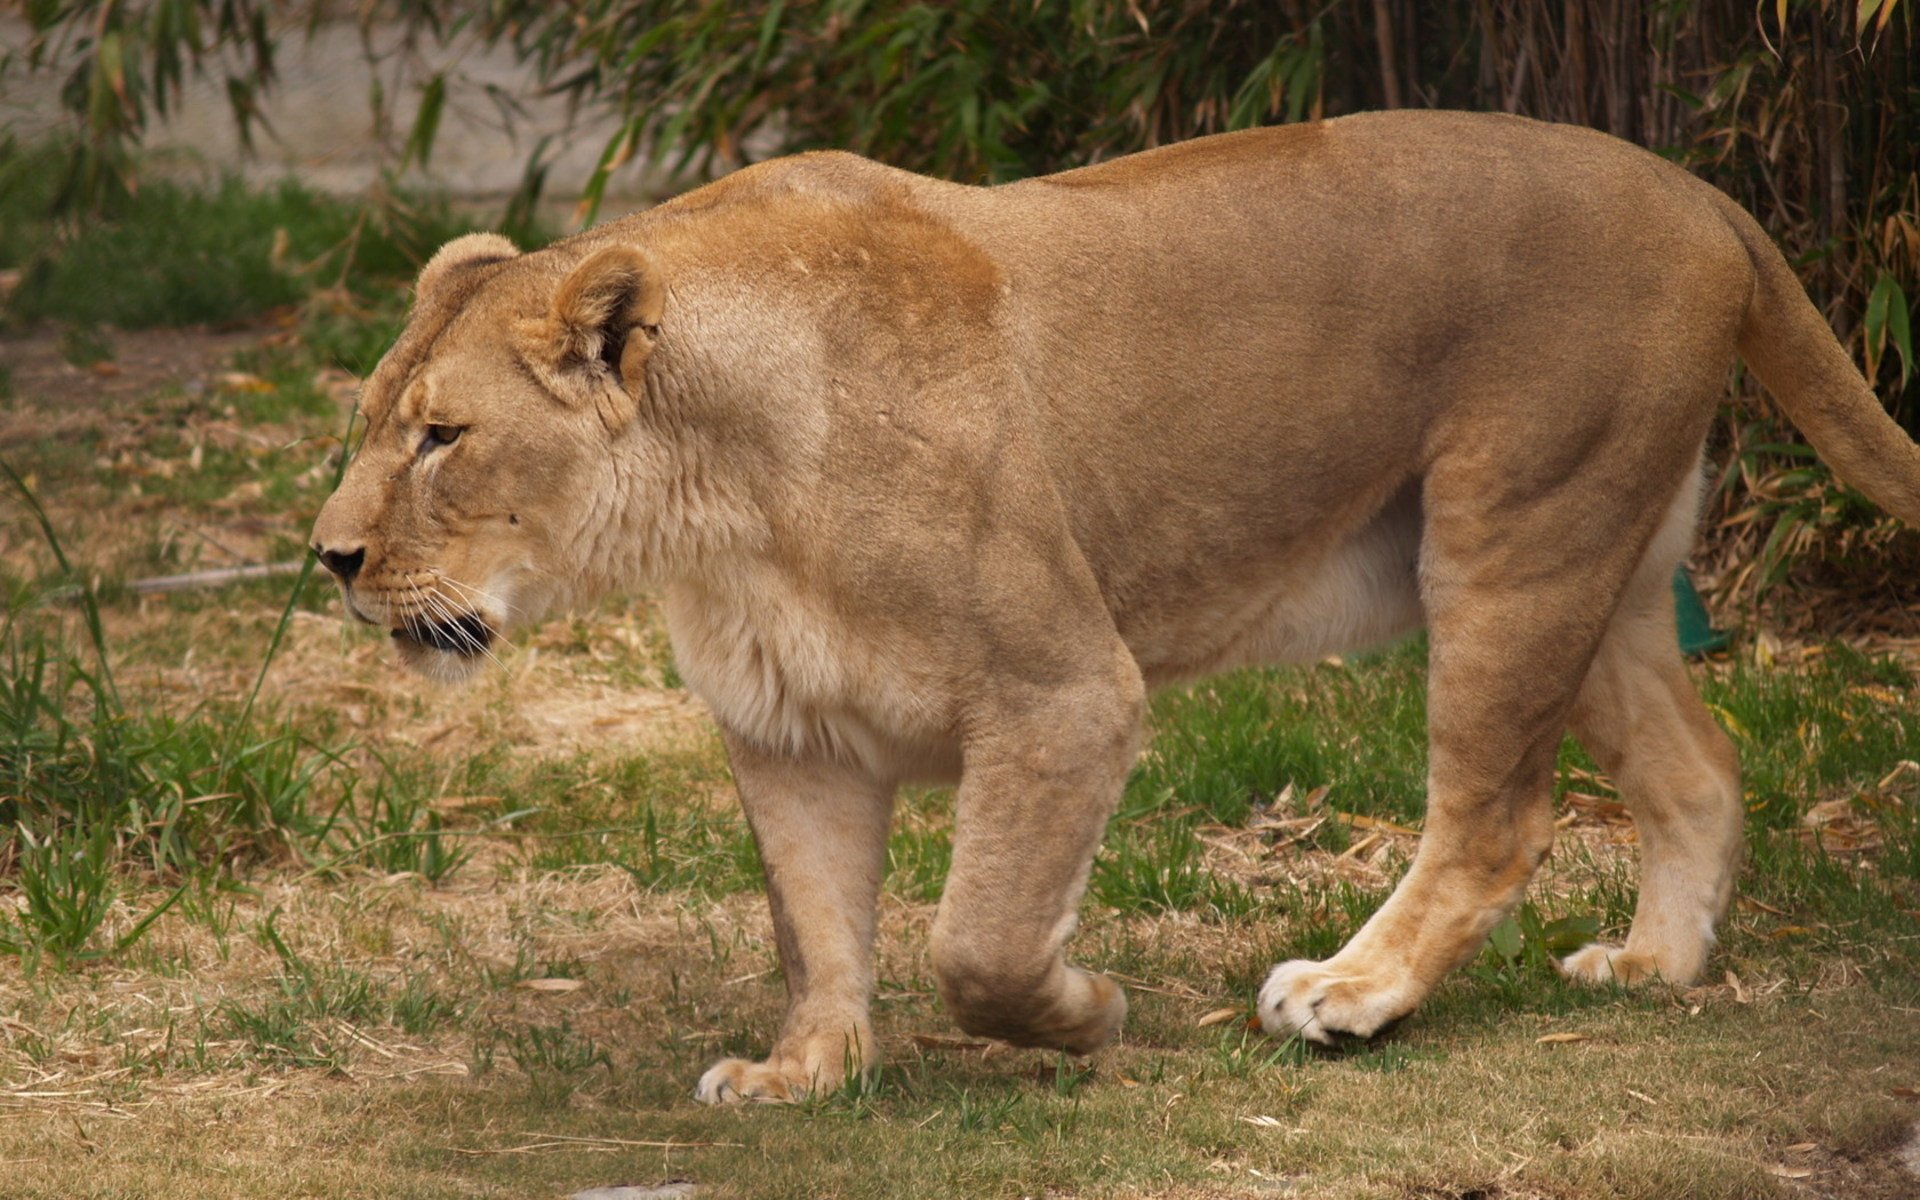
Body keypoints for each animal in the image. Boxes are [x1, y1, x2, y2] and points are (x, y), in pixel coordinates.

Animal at [310, 110, 1920, 1104]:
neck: (715, 507)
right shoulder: (792, 731)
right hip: (1601, 567)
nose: (329, 560)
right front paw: (807, 1074)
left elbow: (981, 938)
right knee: (1701, 769)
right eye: (375, 421)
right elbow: (821, 931)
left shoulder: (1062, 691)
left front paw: (1086, 1018)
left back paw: (1353, 993)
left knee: (1495, 818)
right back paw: (1653, 967)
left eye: (443, 437)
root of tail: (1706, 193)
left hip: (1511, 541)